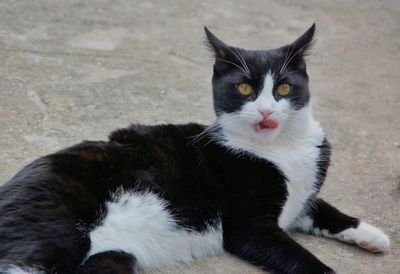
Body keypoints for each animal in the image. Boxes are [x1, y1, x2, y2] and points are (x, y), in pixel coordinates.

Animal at [0, 24, 390, 274]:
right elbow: (306, 261)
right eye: (245, 88)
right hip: (54, 237)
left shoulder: (300, 200)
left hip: (110, 257)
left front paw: (373, 236)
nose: (266, 111)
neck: (282, 148)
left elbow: (325, 208)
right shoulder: (250, 228)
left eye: (283, 88)